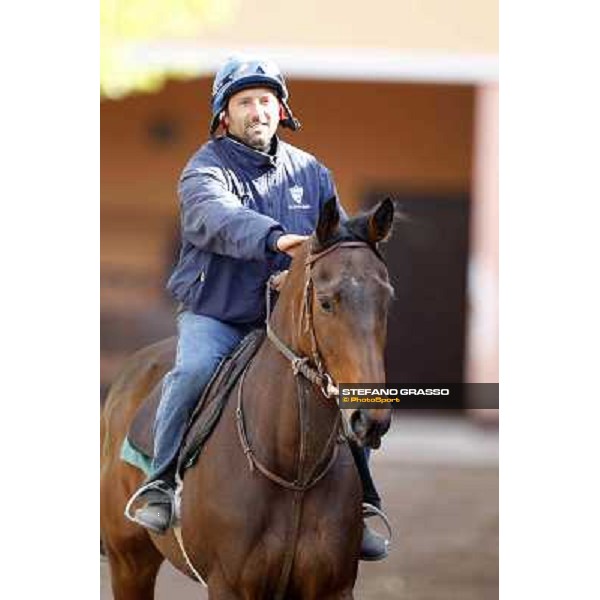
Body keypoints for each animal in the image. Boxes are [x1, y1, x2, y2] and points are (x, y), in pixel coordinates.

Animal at [101, 196, 396, 596]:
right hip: (129, 563)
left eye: (387, 299)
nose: (370, 418)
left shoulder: (334, 589)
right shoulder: (229, 586)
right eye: (326, 302)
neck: (293, 469)